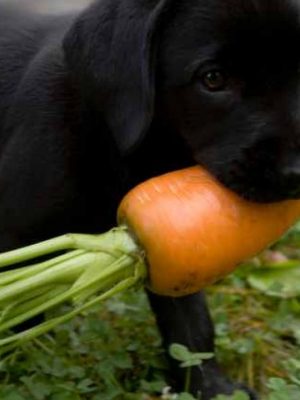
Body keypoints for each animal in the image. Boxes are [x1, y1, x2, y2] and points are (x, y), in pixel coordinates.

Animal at [0, 0, 300, 398]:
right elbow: (22, 310)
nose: (297, 172)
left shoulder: (171, 242)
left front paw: (212, 387)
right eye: (213, 79)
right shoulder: (16, 235)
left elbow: (191, 323)